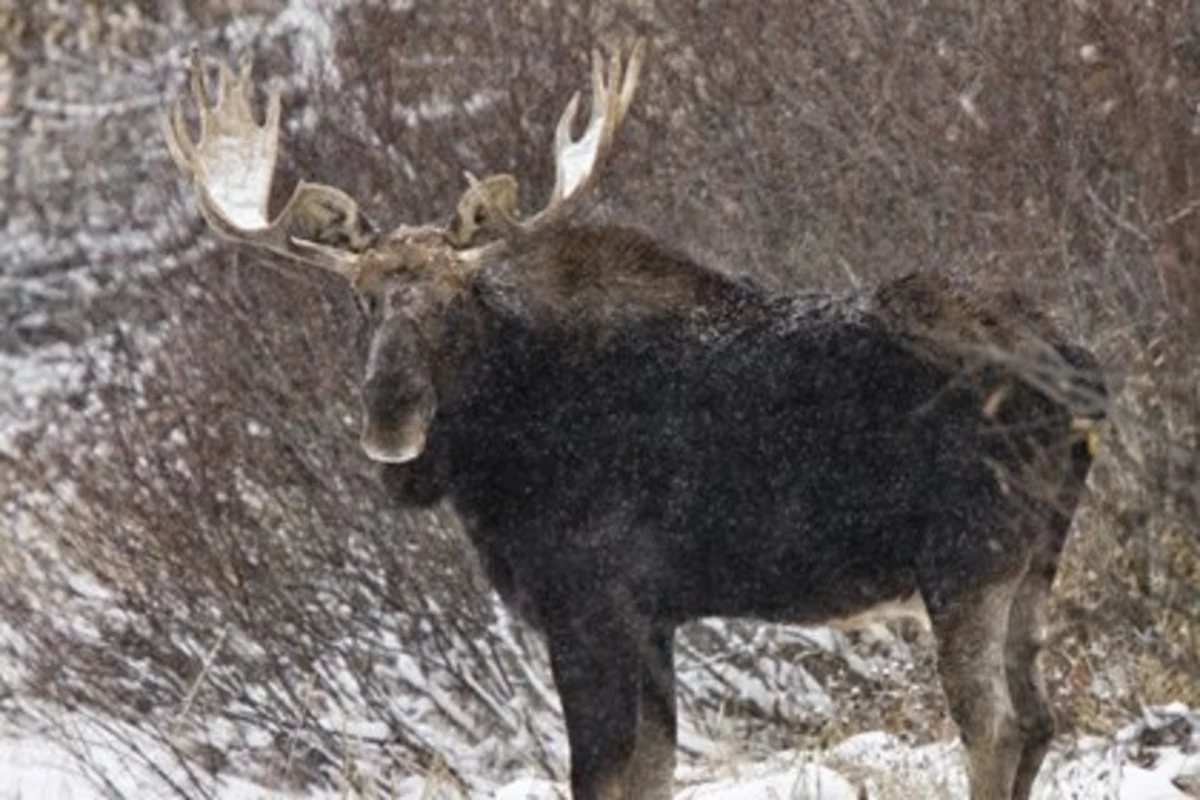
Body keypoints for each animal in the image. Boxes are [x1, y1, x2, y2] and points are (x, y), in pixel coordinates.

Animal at [163, 42, 1107, 800]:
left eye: (455, 303)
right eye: (360, 302)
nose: (391, 417)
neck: (496, 457)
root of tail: (1079, 367)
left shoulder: (592, 600)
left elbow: (602, 774)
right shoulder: (653, 617)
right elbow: (651, 771)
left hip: (968, 558)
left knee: (996, 727)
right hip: (1036, 559)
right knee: (1040, 718)